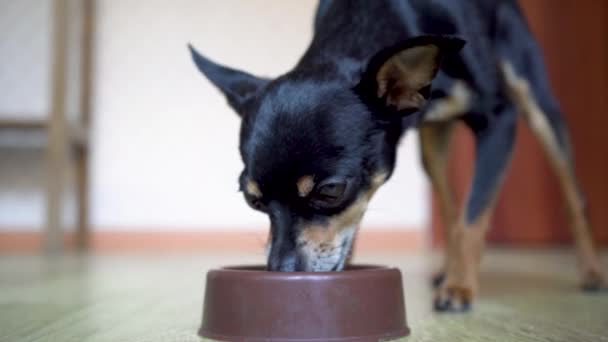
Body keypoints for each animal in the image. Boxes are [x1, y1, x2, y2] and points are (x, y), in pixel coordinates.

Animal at [188, 0, 604, 312]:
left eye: (330, 191)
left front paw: (459, 288)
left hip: (533, 94)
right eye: (253, 201)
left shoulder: (499, 120)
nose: (281, 271)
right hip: (432, 147)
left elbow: (474, 217)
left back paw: (591, 271)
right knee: (448, 203)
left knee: (573, 193)